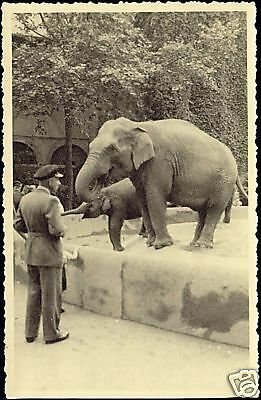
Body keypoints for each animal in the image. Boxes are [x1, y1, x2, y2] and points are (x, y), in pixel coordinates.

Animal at [74, 116, 244, 250]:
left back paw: (203, 245)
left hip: (224, 182)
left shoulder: (160, 162)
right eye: (90, 146)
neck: (138, 126)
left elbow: (155, 196)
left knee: (214, 208)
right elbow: (143, 200)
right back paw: (194, 244)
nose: (102, 177)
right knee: (203, 211)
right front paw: (150, 243)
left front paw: (161, 245)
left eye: (112, 148)